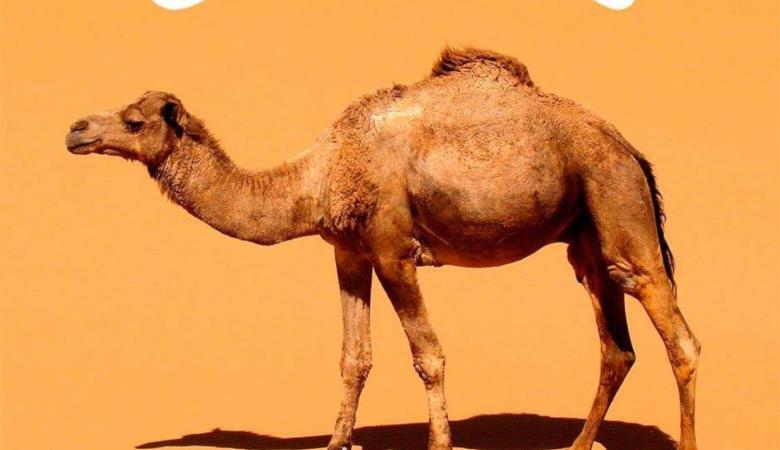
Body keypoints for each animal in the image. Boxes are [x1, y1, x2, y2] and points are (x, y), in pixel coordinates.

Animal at [65, 47, 700, 450]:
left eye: (134, 120)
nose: (76, 130)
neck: (316, 177)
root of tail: (631, 148)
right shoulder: (349, 252)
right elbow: (355, 358)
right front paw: (336, 443)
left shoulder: (394, 248)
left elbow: (429, 356)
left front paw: (440, 444)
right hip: (587, 239)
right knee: (615, 347)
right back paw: (576, 445)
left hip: (619, 203)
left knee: (678, 336)